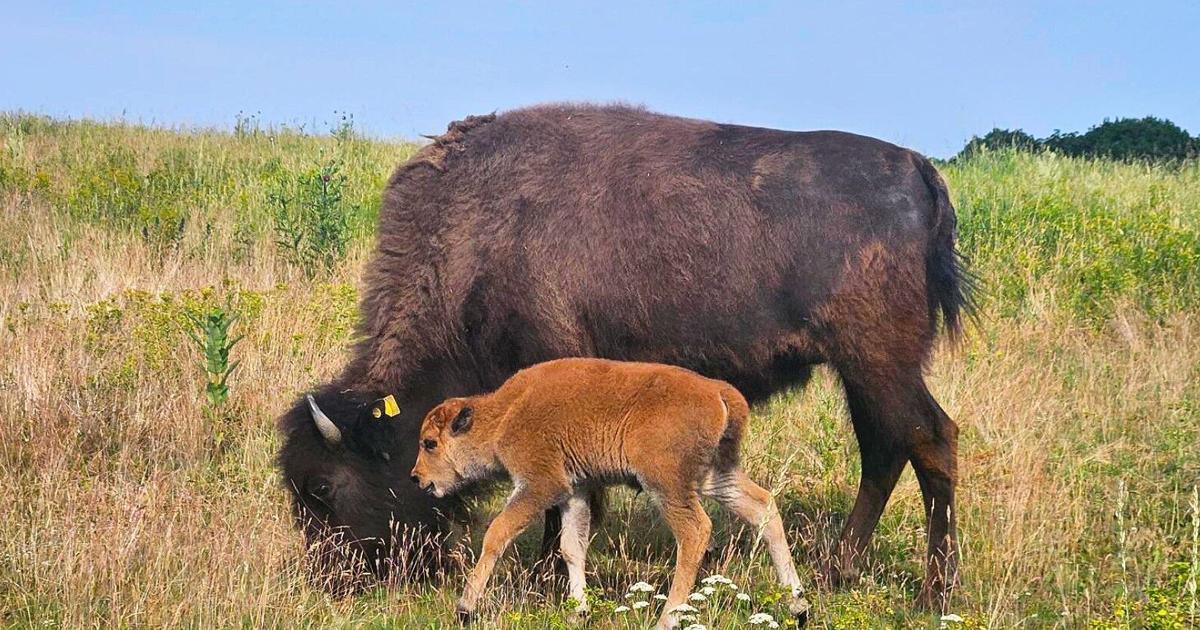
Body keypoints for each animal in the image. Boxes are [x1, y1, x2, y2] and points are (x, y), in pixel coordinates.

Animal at [277, 103, 970, 608]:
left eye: (324, 487)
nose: (333, 581)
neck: (474, 238)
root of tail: (918, 169)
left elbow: (560, 506)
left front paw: (545, 583)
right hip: (863, 371)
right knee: (886, 450)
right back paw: (837, 573)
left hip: (879, 362)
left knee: (930, 441)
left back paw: (933, 595)